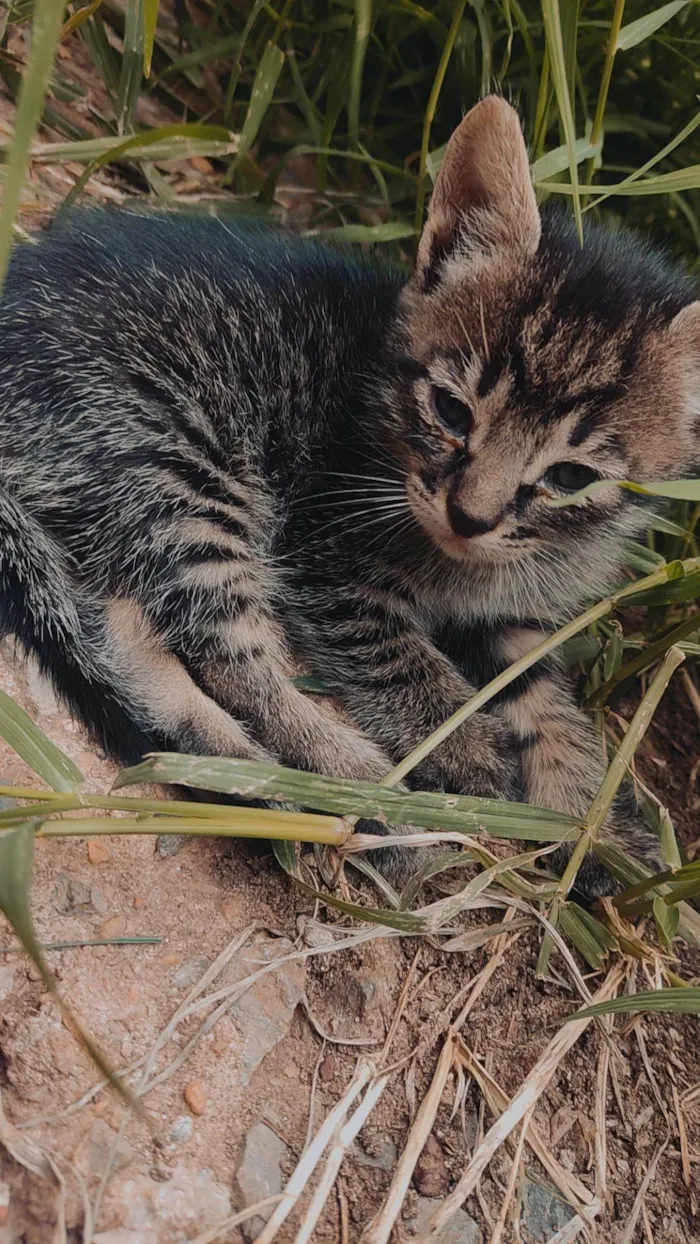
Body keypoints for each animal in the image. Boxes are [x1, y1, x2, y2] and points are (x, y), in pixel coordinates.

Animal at [1, 97, 700, 895]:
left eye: (571, 478)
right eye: (451, 410)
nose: (470, 515)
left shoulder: (515, 615)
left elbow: (547, 696)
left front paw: (594, 821)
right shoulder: (328, 553)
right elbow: (404, 659)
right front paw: (469, 754)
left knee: (122, 628)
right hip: (182, 466)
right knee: (228, 652)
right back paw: (353, 792)